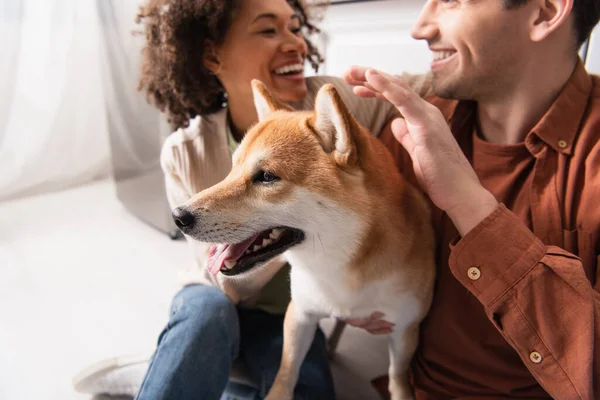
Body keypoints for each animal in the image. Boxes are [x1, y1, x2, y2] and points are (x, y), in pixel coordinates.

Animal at [173, 79, 436, 398]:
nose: (178, 216)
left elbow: (397, 377)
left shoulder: (404, 331)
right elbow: (287, 370)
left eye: (266, 177)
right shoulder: (300, 314)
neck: (339, 267)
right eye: (233, 167)